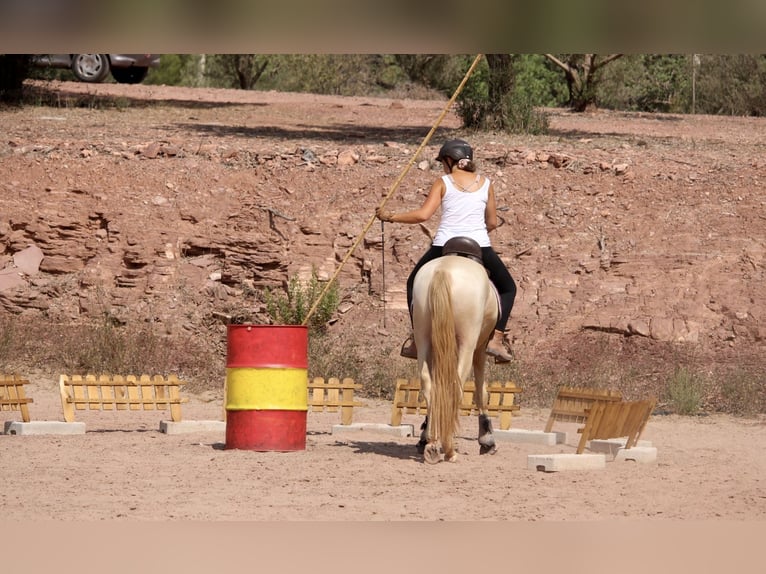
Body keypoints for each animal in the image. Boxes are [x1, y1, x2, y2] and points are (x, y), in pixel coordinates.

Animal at [412, 249, 500, 464]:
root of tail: (444, 270)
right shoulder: (480, 348)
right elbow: (481, 391)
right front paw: (487, 440)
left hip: (423, 338)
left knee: (429, 385)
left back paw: (432, 443)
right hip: (468, 343)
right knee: (456, 388)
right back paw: (449, 449)